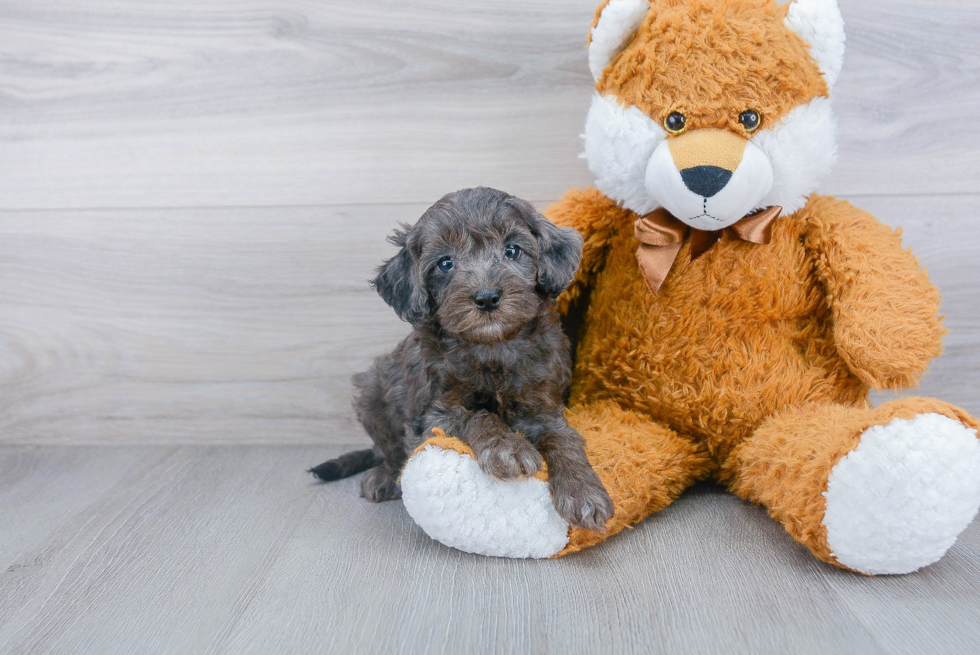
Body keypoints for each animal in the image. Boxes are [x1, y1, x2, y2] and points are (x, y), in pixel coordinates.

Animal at [310, 186, 612, 532]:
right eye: (445, 264)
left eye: (512, 250)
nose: (487, 298)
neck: (491, 346)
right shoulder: (434, 414)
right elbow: (477, 416)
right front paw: (507, 447)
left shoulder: (543, 407)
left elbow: (563, 439)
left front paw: (583, 491)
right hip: (372, 391)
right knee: (388, 451)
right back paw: (385, 477)